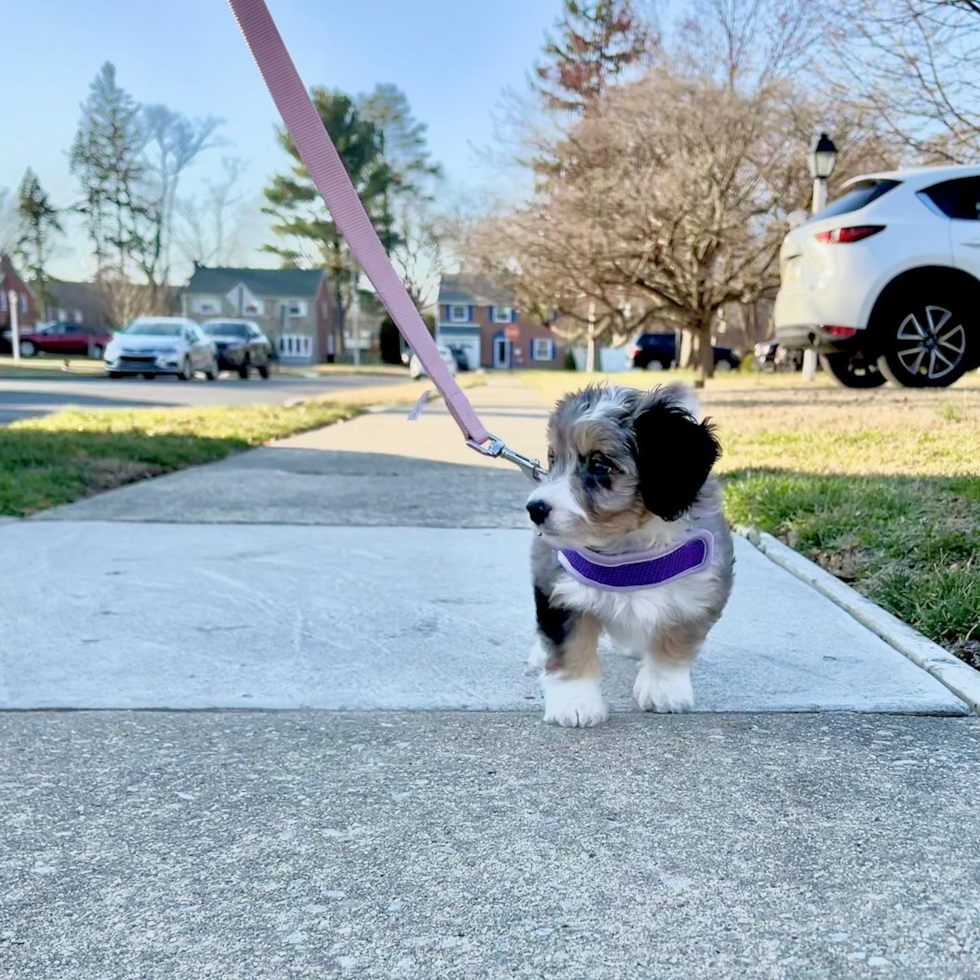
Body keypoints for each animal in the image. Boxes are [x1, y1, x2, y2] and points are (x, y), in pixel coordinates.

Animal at [524, 382, 732, 728]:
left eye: (600, 465)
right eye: (553, 459)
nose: (535, 509)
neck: (629, 548)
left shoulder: (697, 592)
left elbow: (675, 642)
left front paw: (664, 690)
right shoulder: (560, 588)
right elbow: (569, 645)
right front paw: (574, 702)